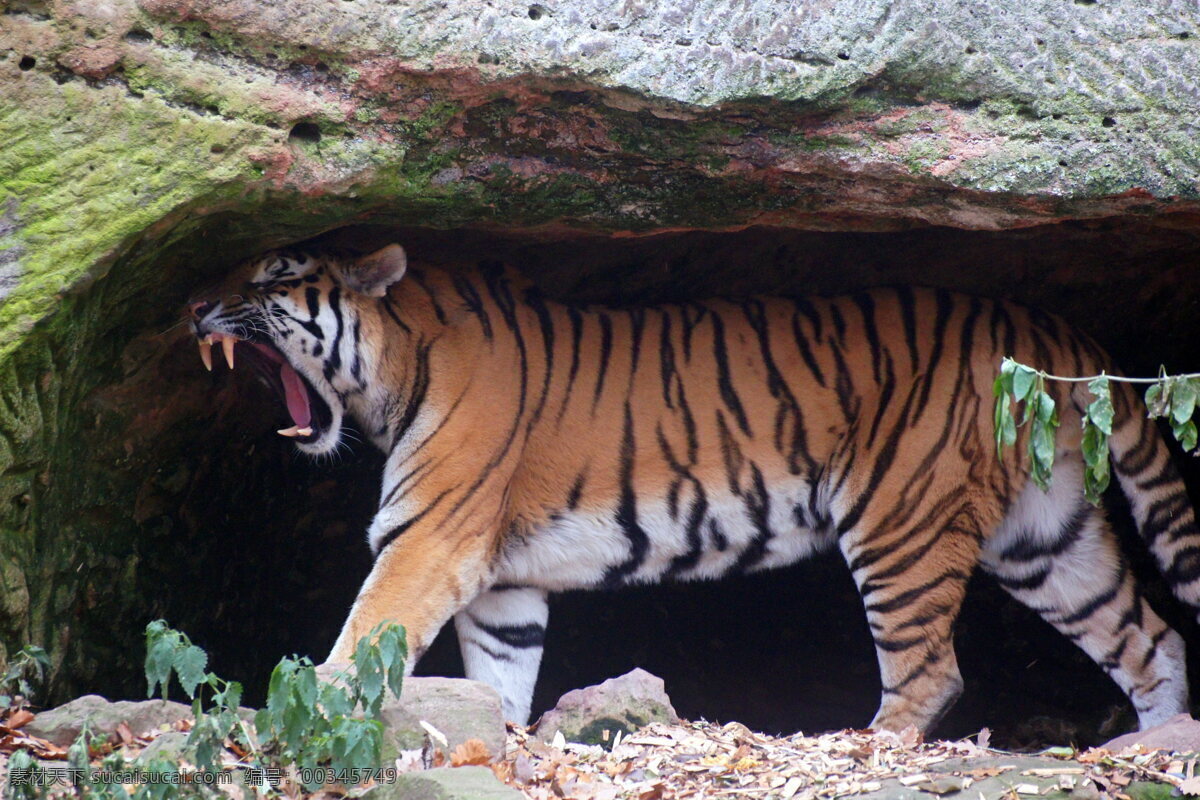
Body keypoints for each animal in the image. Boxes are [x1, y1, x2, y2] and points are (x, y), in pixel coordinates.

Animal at [184, 245, 1200, 738]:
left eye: (275, 276)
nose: (191, 306)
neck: (395, 365)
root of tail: (1052, 329)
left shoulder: (428, 540)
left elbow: (359, 640)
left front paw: (298, 713)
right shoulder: (507, 585)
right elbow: (500, 680)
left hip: (901, 523)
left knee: (930, 672)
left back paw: (860, 749)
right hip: (1046, 538)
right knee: (1152, 639)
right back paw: (1147, 747)